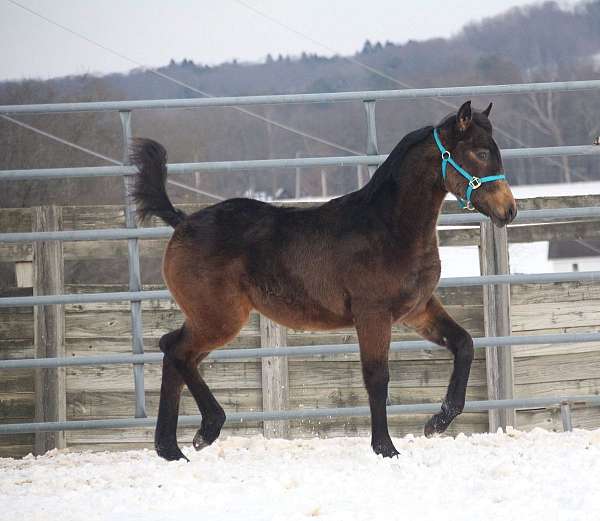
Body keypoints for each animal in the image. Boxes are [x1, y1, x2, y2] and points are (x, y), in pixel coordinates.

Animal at [131, 100, 516, 460]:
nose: (509, 210)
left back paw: (172, 447)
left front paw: (437, 422)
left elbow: (464, 343)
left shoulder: (417, 309)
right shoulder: (373, 315)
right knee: (176, 351)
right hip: (219, 318)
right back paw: (203, 431)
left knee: (174, 351)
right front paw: (385, 448)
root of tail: (182, 221)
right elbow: (377, 377)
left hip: (212, 319)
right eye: (482, 152)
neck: (388, 228)